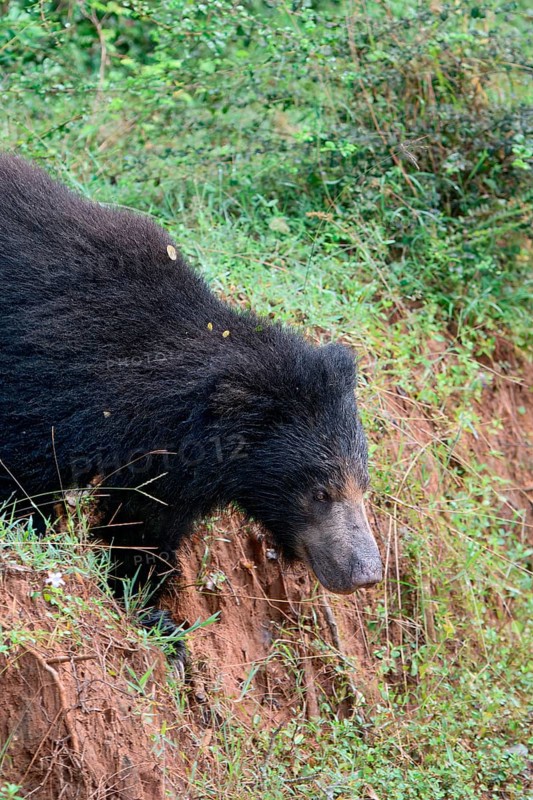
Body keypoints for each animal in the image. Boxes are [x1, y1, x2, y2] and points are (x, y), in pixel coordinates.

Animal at [0, 154, 382, 661]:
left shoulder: (168, 470)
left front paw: (158, 621)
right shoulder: (48, 385)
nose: (366, 574)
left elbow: (142, 528)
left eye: (363, 486)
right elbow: (26, 471)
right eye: (321, 493)